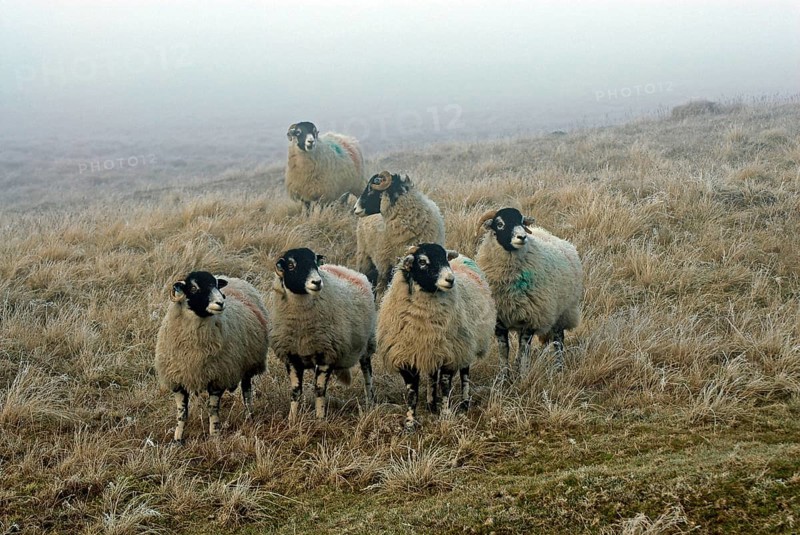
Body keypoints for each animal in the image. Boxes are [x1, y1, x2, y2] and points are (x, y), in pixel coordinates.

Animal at [155, 271, 269, 442]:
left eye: (216, 285)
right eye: (193, 288)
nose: (220, 303)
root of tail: (231, 278)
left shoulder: (218, 377)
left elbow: (212, 409)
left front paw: (215, 435)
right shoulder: (177, 379)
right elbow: (182, 412)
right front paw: (177, 439)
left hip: (248, 364)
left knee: (247, 392)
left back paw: (249, 416)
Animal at [268, 247, 376, 419]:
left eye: (314, 262)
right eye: (291, 265)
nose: (317, 282)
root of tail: (342, 268)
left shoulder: (326, 354)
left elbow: (319, 390)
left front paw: (319, 419)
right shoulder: (291, 356)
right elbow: (295, 391)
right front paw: (292, 419)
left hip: (367, 344)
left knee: (367, 375)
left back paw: (370, 402)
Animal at [377, 243, 496, 431]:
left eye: (446, 258)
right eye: (422, 261)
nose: (450, 280)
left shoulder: (451, 353)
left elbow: (445, 385)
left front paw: (446, 415)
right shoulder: (406, 356)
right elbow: (412, 392)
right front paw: (410, 422)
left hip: (466, 345)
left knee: (465, 375)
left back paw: (464, 403)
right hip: (433, 348)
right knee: (432, 376)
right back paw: (431, 404)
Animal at [475, 207, 583, 376]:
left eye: (521, 222)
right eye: (500, 224)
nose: (522, 237)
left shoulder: (532, 318)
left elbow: (524, 349)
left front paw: (522, 375)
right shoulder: (500, 320)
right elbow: (504, 350)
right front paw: (503, 377)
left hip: (563, 312)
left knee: (558, 340)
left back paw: (558, 368)